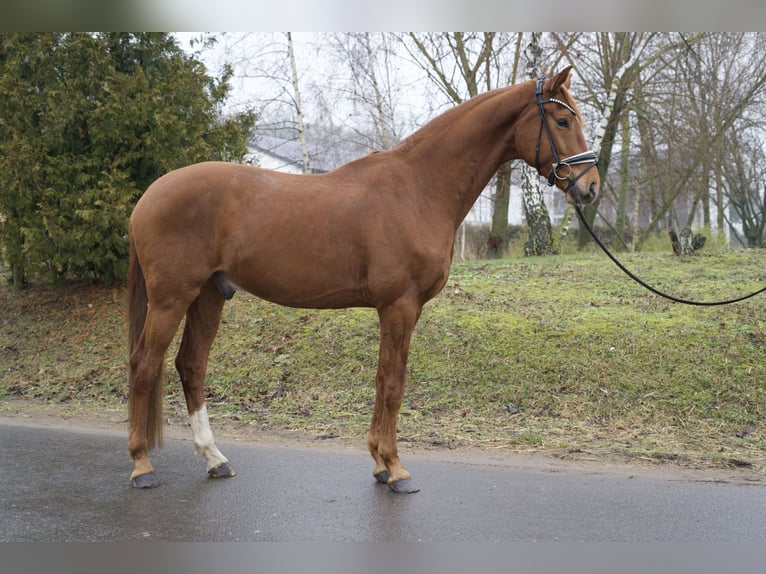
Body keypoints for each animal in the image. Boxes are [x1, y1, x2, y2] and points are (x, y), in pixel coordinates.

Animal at [129, 66, 604, 490]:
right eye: (562, 120)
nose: (591, 187)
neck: (418, 188)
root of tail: (149, 195)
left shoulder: (397, 310)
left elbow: (381, 380)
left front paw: (379, 463)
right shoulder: (399, 306)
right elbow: (392, 384)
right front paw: (395, 469)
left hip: (210, 295)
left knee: (190, 366)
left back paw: (214, 459)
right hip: (172, 298)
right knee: (145, 364)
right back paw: (141, 466)